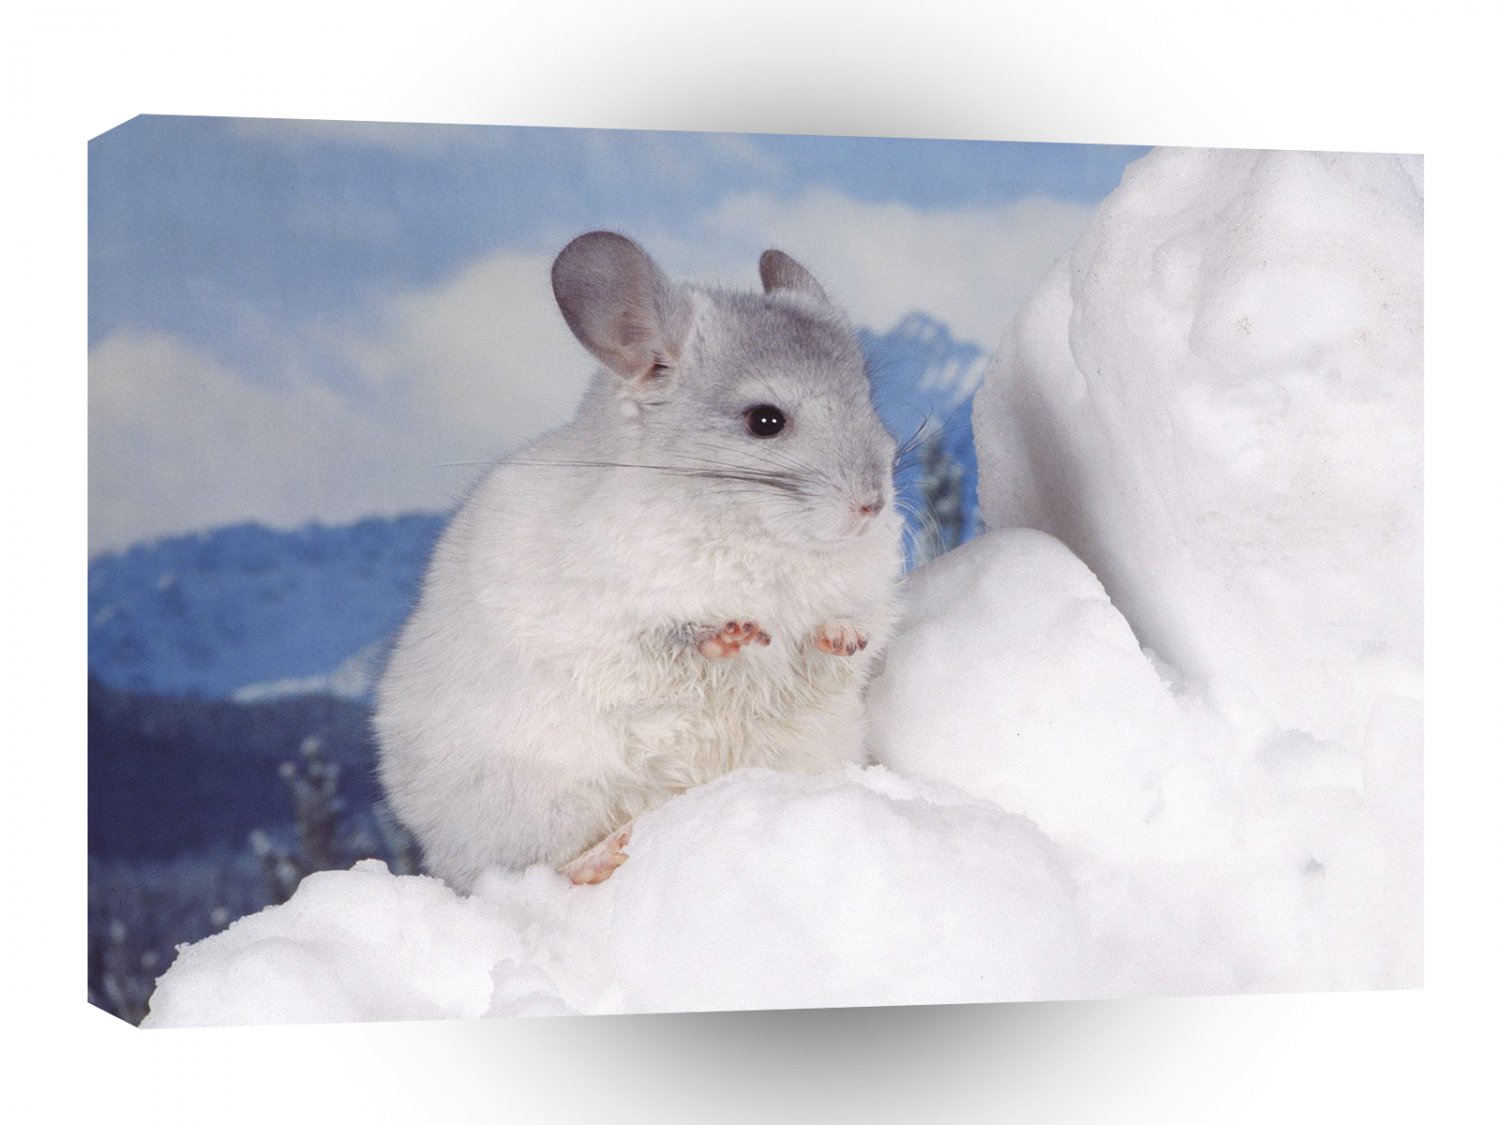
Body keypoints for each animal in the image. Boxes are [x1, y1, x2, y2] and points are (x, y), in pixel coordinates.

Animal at [373, 231, 904, 891]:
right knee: (533, 868)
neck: (762, 534)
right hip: (532, 803)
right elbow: (672, 639)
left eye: (867, 399)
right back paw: (606, 855)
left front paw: (840, 637)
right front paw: (733, 634)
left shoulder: (867, 598)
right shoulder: (620, 612)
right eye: (765, 421)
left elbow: (842, 634)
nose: (871, 505)